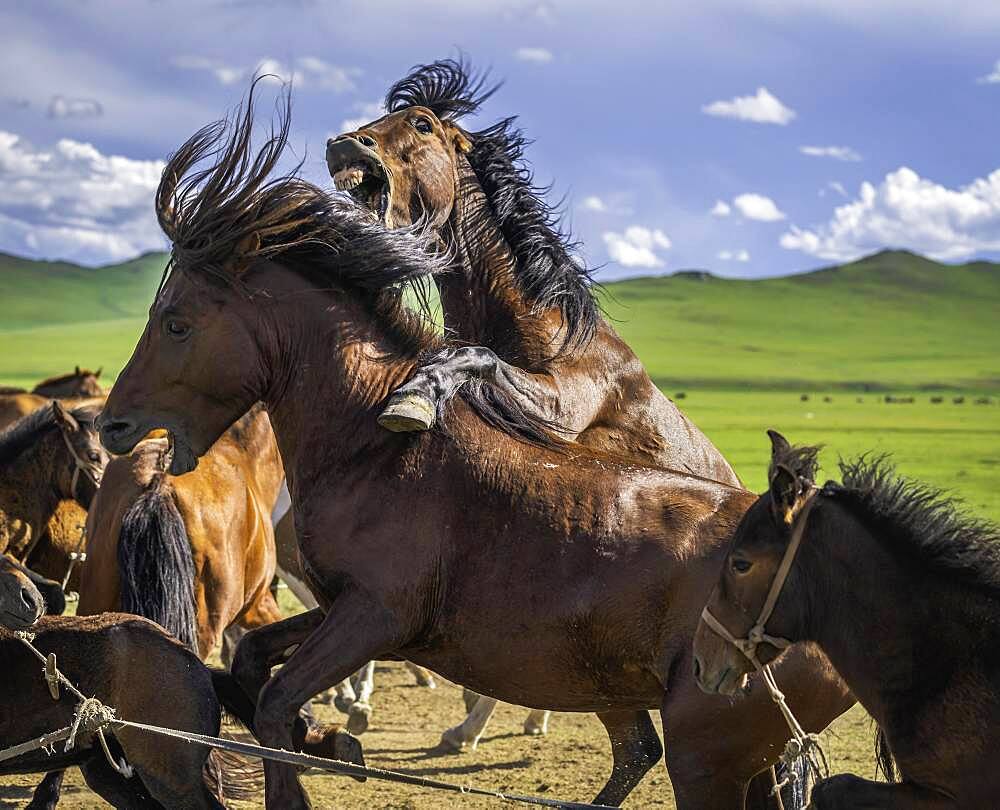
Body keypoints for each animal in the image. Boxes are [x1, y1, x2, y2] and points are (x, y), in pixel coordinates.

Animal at [99, 88, 852, 808]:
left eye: (176, 323)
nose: (113, 427)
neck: (369, 448)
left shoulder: (376, 615)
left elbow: (278, 705)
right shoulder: (344, 606)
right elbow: (254, 661)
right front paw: (335, 738)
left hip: (705, 738)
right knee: (638, 751)